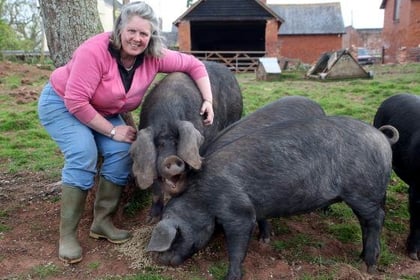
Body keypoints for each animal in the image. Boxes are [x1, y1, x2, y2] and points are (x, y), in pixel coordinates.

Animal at [130, 61, 243, 223]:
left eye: (177, 141)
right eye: (158, 145)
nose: (171, 159)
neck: (166, 119)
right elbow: (156, 189)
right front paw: (151, 220)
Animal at [147, 110, 394, 278]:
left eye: (176, 237)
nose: (162, 261)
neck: (202, 198)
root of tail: (381, 138)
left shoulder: (238, 212)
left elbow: (237, 247)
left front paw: (231, 276)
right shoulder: (257, 205)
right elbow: (263, 220)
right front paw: (265, 241)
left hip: (362, 191)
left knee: (376, 220)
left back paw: (370, 266)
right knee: (368, 222)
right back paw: (362, 258)